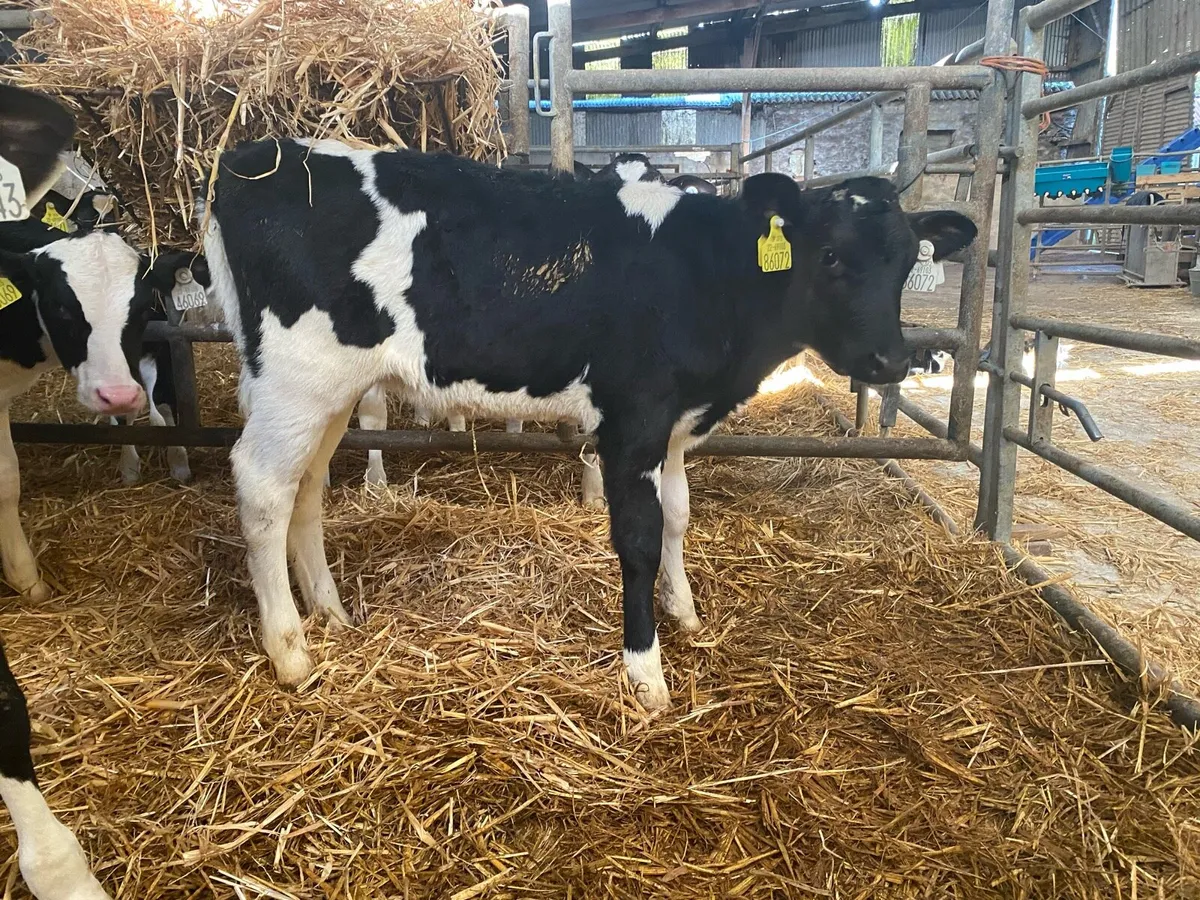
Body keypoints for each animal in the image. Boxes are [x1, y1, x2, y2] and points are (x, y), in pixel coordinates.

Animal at [201, 138, 977, 708]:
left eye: (906, 264)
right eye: (831, 255)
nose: (889, 359)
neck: (706, 274)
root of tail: (258, 154)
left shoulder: (673, 426)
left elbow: (678, 516)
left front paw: (685, 613)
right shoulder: (633, 420)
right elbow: (637, 538)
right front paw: (646, 672)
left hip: (327, 394)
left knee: (305, 489)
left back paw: (328, 612)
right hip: (298, 379)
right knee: (263, 489)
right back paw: (291, 650)